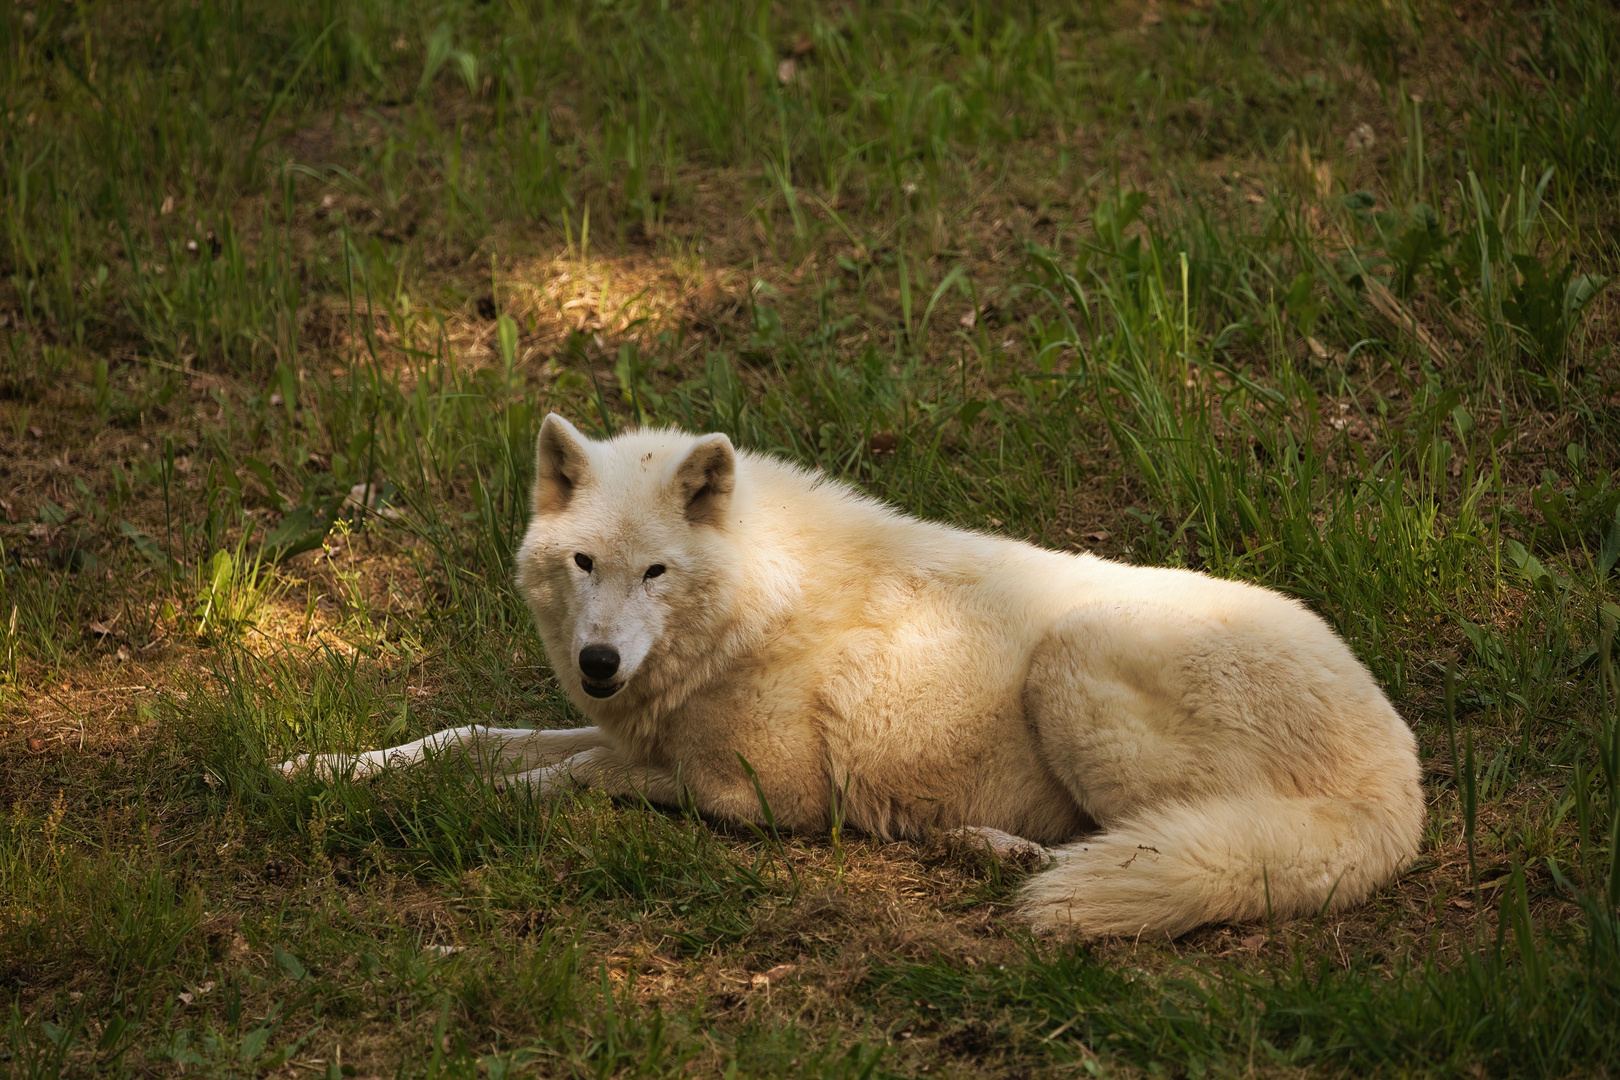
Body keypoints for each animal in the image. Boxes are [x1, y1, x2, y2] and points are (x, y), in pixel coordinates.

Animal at [285, 414, 1425, 939]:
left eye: (656, 572)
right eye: (582, 564)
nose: (600, 662)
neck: (750, 603)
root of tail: (1402, 782)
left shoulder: (756, 792)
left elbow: (549, 781)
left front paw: (441, 810)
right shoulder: (623, 728)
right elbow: (464, 738)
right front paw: (320, 772)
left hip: (1073, 664)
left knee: (1151, 840)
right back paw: (975, 844)